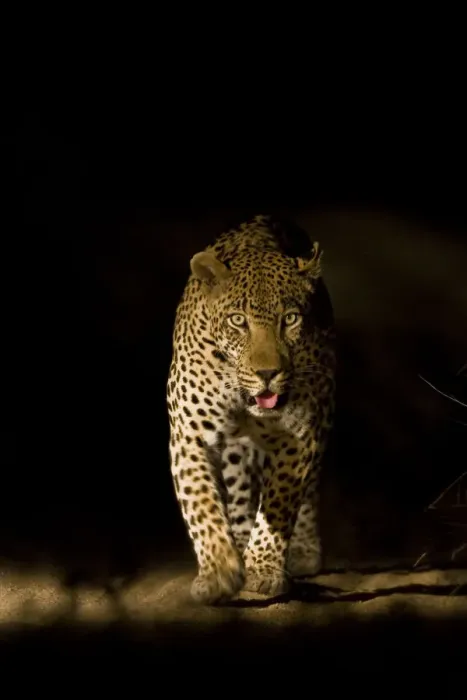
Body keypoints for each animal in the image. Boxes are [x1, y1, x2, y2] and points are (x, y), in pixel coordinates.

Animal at [166, 214, 336, 604]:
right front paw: (219, 570)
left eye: (290, 319)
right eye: (238, 320)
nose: (267, 373)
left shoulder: (302, 434)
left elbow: (279, 501)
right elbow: (201, 503)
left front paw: (262, 569)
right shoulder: (188, 436)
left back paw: (301, 551)